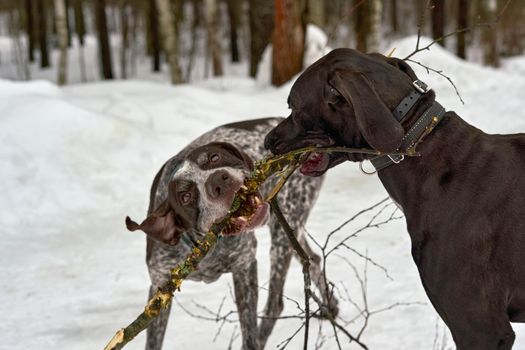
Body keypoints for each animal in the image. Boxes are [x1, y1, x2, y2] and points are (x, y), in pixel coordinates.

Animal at [126, 118, 336, 350]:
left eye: (214, 157)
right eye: (186, 196)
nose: (218, 180)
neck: (207, 247)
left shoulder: (244, 266)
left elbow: (250, 332)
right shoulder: (159, 287)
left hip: (285, 225)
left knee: (275, 304)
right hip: (289, 227)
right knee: (313, 259)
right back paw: (330, 308)